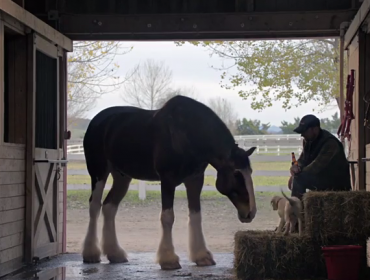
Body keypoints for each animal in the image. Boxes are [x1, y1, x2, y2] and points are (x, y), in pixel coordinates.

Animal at [81, 95, 256, 270]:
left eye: (250, 172)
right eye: (236, 173)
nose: (250, 213)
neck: (186, 134)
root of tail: (96, 121)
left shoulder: (195, 180)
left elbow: (196, 215)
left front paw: (201, 256)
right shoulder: (167, 181)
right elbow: (167, 217)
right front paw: (168, 259)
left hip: (122, 177)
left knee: (109, 207)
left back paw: (115, 253)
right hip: (98, 172)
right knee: (94, 206)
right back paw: (91, 254)